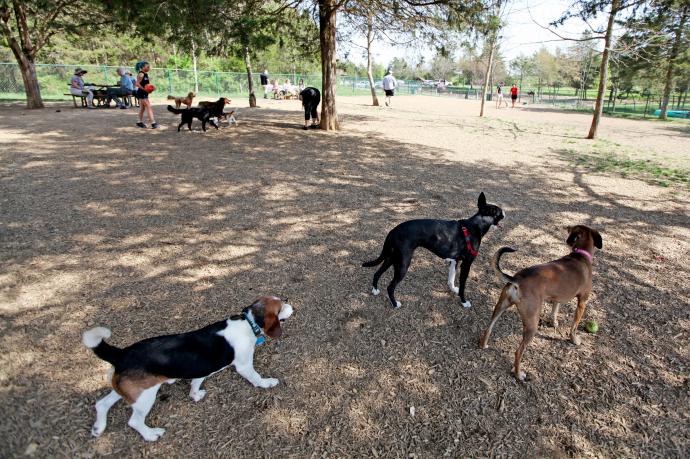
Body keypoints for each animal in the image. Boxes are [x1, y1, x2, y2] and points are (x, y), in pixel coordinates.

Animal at [82, 298, 292, 442]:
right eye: (280, 306)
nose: (291, 302)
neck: (248, 323)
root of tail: (121, 354)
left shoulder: (201, 370)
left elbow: (196, 382)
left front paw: (195, 395)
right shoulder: (244, 365)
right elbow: (256, 377)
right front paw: (267, 383)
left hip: (128, 391)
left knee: (101, 404)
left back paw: (98, 428)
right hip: (144, 397)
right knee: (134, 421)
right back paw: (151, 434)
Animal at [362, 192, 502, 310]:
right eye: (498, 212)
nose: (505, 213)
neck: (475, 226)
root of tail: (392, 231)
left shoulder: (454, 261)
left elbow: (451, 278)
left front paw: (453, 289)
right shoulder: (466, 264)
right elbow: (463, 285)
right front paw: (463, 301)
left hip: (391, 258)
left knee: (377, 273)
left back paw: (375, 290)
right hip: (402, 264)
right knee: (390, 287)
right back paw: (395, 304)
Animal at [482, 226, 600, 380]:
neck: (580, 255)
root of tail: (517, 280)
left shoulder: (557, 299)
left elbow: (554, 311)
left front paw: (554, 323)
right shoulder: (582, 302)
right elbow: (574, 326)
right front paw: (574, 339)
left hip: (500, 307)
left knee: (488, 328)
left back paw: (484, 345)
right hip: (532, 323)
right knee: (518, 352)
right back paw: (519, 374)